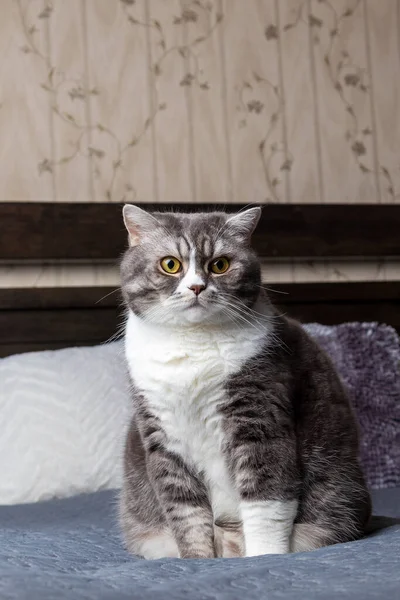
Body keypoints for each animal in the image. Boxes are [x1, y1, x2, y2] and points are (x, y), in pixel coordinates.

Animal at [119, 205, 372, 556]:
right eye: (170, 264)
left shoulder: (259, 414)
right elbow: (185, 513)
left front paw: (265, 556)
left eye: (220, 265)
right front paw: (197, 560)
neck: (192, 343)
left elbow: (266, 500)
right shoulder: (162, 435)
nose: (196, 287)